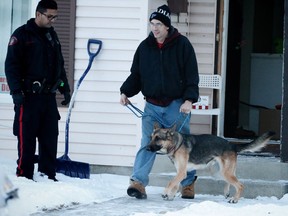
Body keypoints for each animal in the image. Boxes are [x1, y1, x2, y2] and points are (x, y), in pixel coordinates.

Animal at [147, 124, 276, 203]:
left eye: (158, 138)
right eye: (151, 137)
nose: (147, 149)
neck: (176, 144)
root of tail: (232, 145)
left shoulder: (182, 173)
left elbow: (170, 182)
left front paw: (165, 193)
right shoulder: (180, 172)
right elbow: (175, 184)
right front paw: (170, 196)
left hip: (224, 173)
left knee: (240, 185)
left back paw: (234, 199)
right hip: (220, 173)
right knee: (231, 181)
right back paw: (227, 192)